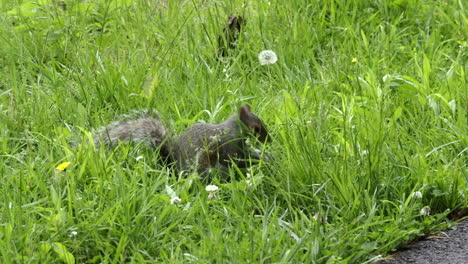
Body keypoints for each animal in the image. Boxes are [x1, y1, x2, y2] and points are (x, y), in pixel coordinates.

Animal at [94, 104, 270, 175]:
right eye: (256, 128)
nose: (269, 140)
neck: (234, 128)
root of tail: (172, 166)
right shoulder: (229, 145)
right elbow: (238, 159)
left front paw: (263, 155)